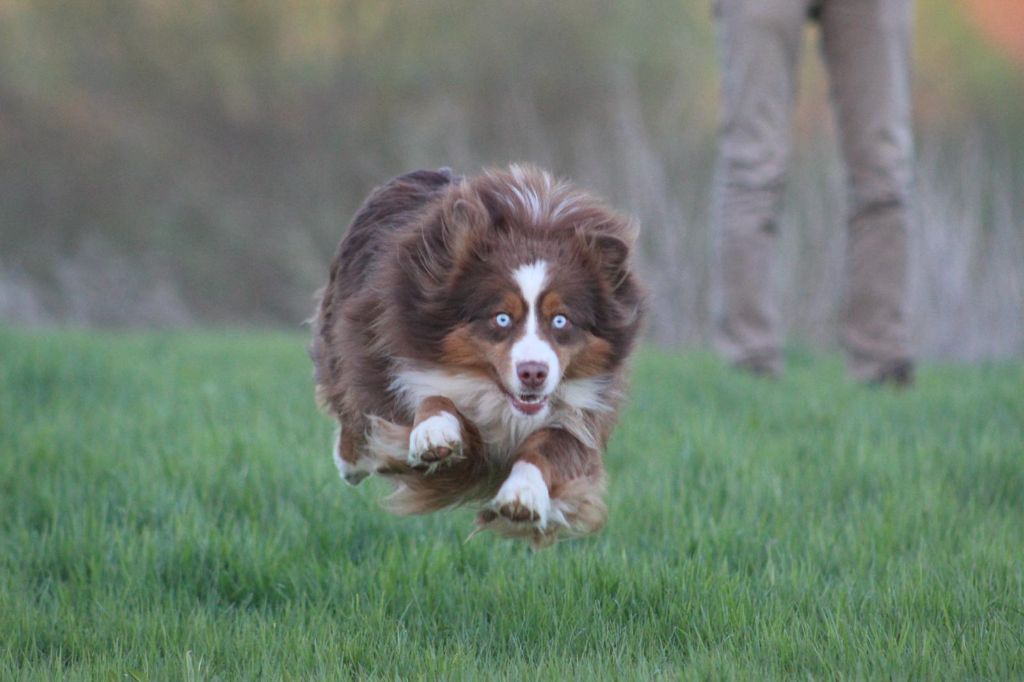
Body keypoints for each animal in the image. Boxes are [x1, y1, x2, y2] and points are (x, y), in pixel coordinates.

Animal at [311, 165, 643, 548]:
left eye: (561, 320)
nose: (533, 373)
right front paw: (434, 434)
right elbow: (432, 398)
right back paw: (350, 462)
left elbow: (553, 445)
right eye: (502, 318)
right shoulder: (394, 364)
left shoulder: (581, 412)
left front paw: (523, 495)